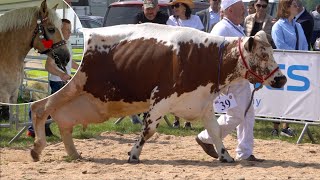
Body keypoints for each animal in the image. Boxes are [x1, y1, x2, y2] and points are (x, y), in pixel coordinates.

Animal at [30, 22, 286, 163]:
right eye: (263, 55)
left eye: (271, 52)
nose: (282, 78)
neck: (206, 55)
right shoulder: (161, 98)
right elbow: (149, 130)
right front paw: (133, 154)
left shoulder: (202, 101)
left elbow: (214, 131)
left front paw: (225, 155)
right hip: (70, 87)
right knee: (39, 108)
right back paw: (37, 148)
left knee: (64, 122)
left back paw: (73, 154)